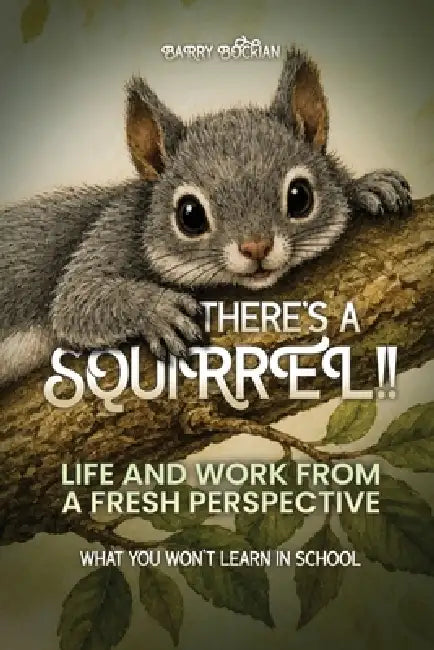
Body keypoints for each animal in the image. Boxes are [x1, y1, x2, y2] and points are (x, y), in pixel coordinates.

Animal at [0, 47, 412, 386]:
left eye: (300, 197)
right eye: (190, 215)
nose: (256, 248)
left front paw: (367, 187)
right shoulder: (110, 233)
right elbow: (76, 300)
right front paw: (158, 309)